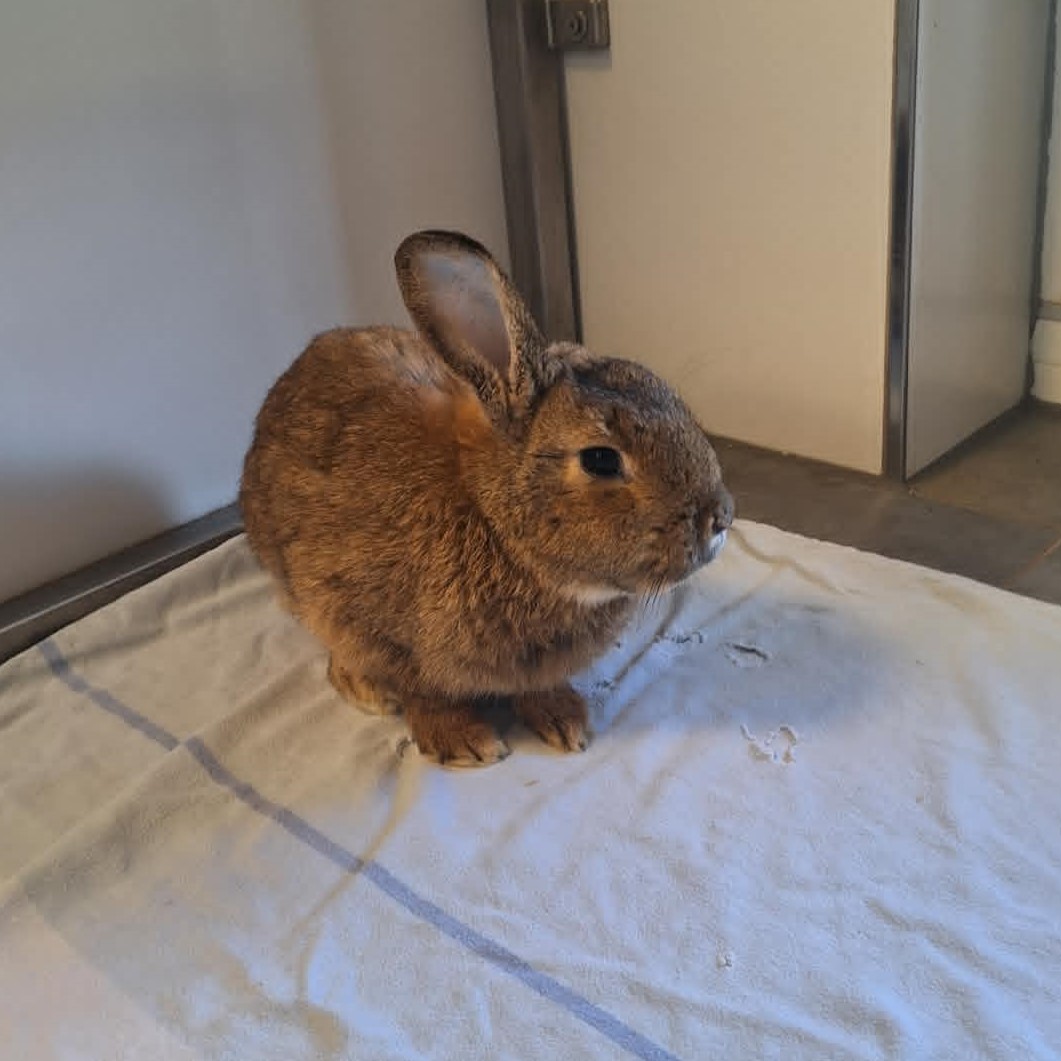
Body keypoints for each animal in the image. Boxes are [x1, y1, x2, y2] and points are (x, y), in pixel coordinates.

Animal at [240, 230, 733, 767]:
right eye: (601, 460)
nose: (721, 517)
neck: (490, 516)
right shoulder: (373, 629)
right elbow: (424, 694)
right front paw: (464, 743)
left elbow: (537, 689)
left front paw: (564, 721)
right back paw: (366, 690)